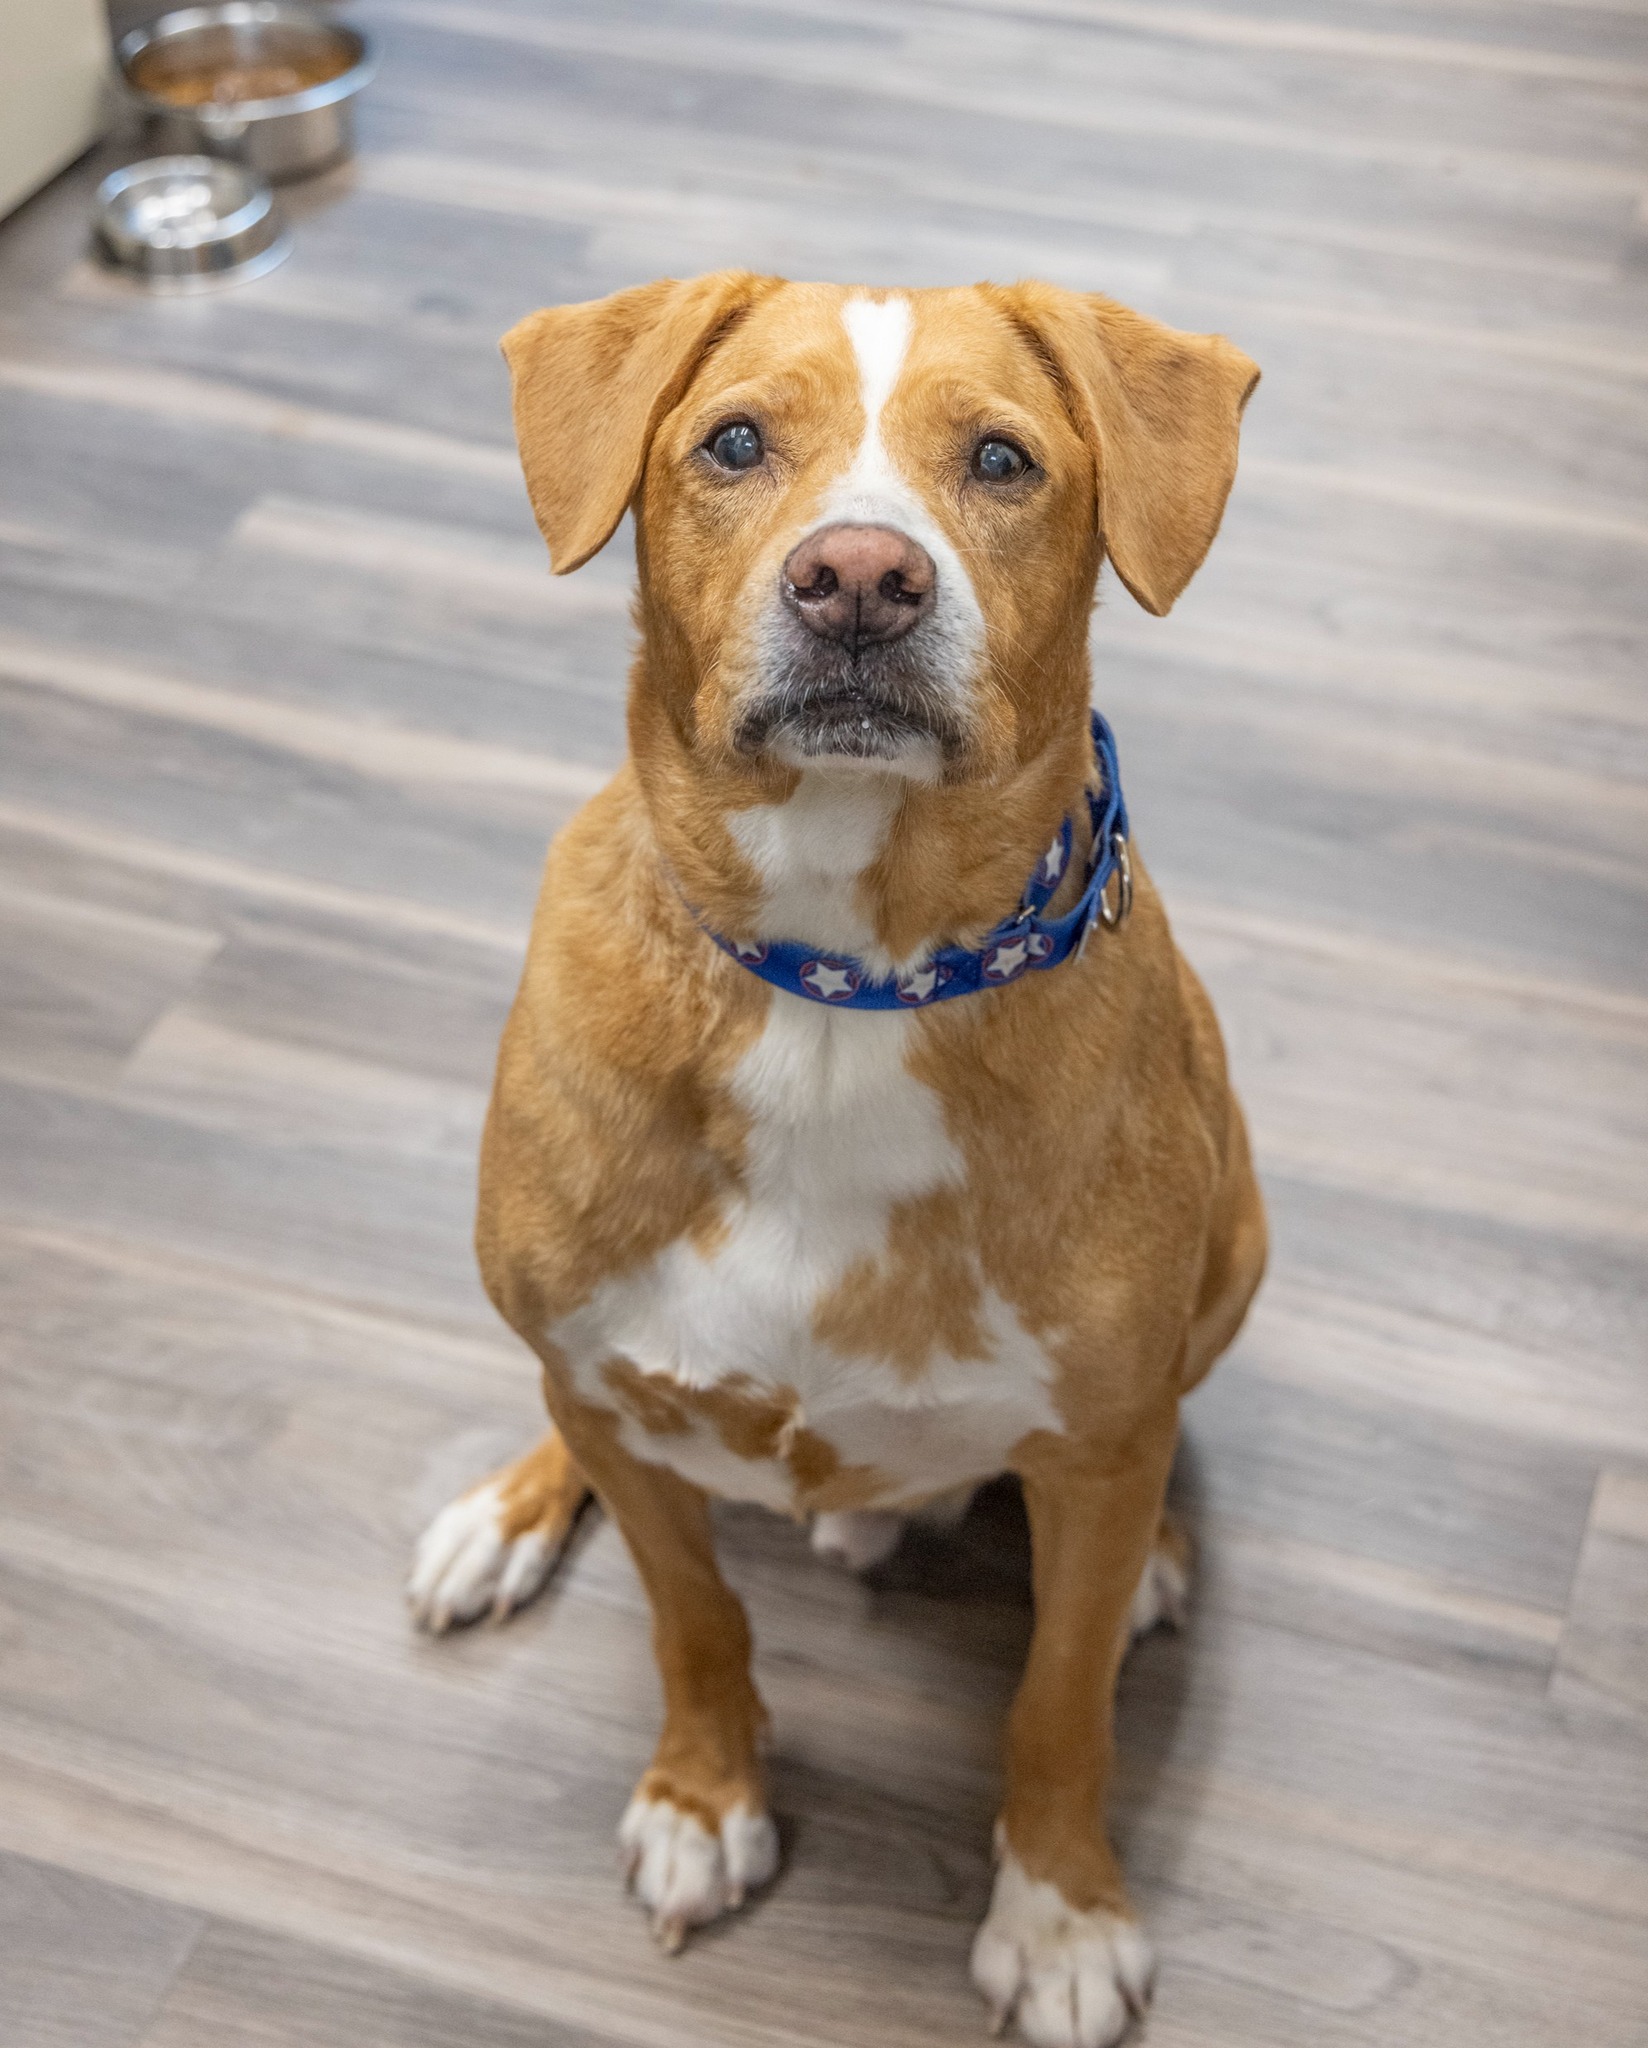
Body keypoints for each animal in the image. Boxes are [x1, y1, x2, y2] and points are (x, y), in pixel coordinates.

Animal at [405, 272, 1269, 2048]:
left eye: (1000, 460)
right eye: (735, 441)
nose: (860, 578)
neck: (840, 983)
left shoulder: (1095, 1445)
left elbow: (1058, 1701)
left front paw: (1061, 1911)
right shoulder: (613, 1402)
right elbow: (694, 1620)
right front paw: (703, 1796)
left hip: (1241, 1246)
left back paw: (1158, 1554)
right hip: (573, 1365)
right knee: (573, 1420)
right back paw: (504, 1513)